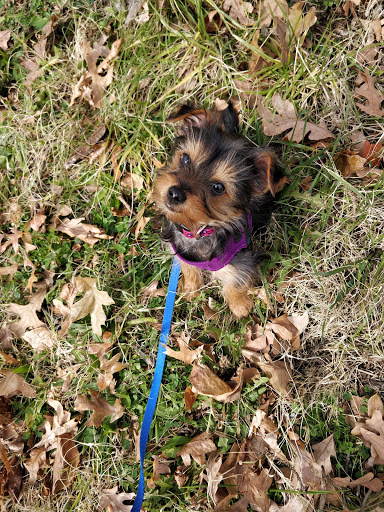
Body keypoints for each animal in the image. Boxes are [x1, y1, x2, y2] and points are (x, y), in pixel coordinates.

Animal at [152, 102, 286, 318]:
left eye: (218, 187)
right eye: (186, 159)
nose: (174, 194)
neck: (199, 229)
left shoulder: (240, 258)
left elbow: (235, 278)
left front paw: (240, 306)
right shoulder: (179, 249)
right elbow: (188, 267)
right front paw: (190, 288)